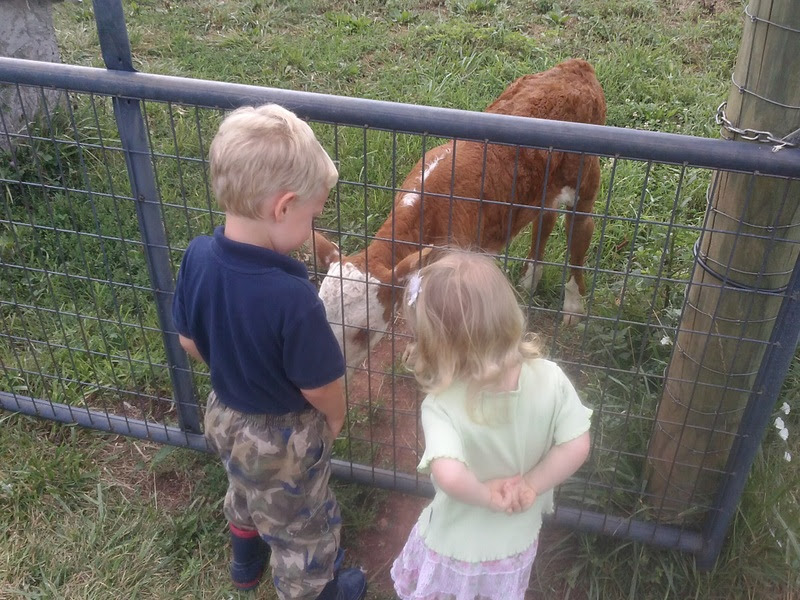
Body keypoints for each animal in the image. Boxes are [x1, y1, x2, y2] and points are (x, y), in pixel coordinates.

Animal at [313, 58, 606, 368]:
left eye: (363, 331)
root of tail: (577, 67)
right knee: (545, 218)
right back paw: (530, 279)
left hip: (586, 182)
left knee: (579, 234)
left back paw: (573, 305)